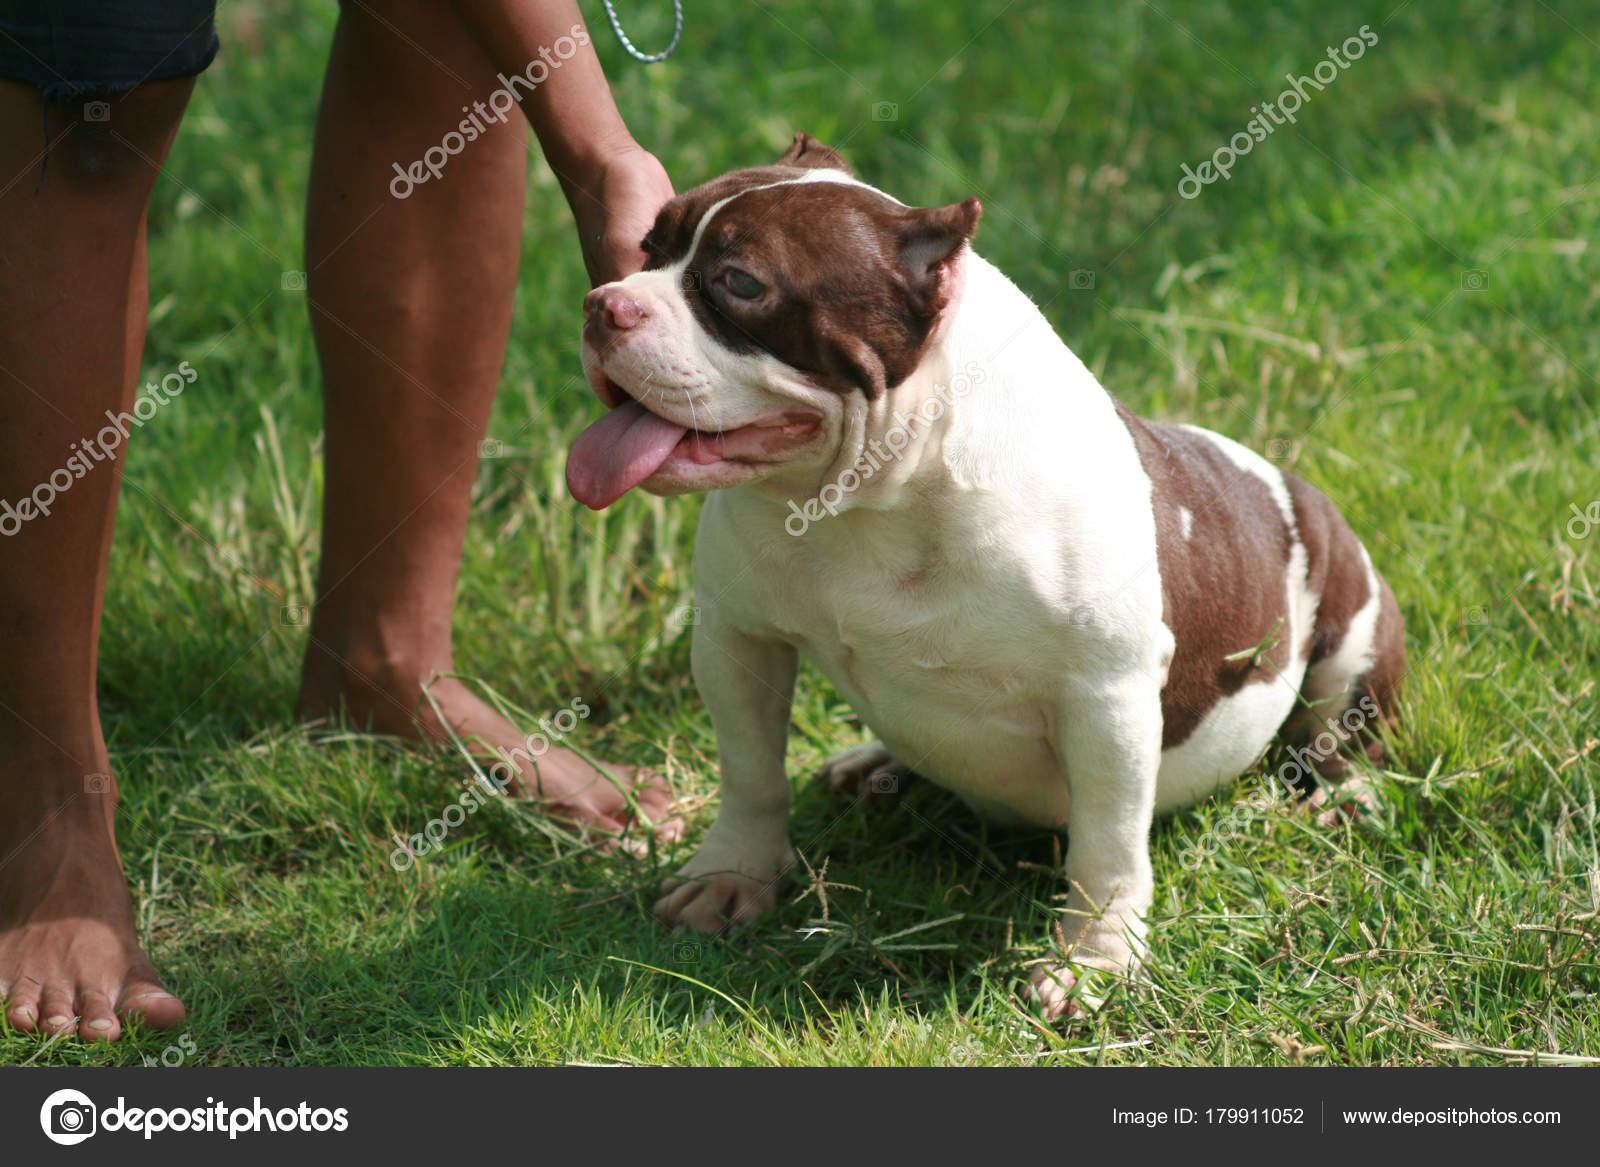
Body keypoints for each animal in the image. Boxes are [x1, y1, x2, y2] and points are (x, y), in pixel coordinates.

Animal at [563, 134, 1401, 1011]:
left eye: (741, 283)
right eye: (646, 246)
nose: (603, 304)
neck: (869, 500)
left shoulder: (1105, 699)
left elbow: (1106, 848)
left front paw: (1094, 959)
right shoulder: (738, 637)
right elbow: (751, 772)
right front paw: (731, 876)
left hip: (1352, 628)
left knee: (1337, 728)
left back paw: (1343, 794)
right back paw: (875, 763)